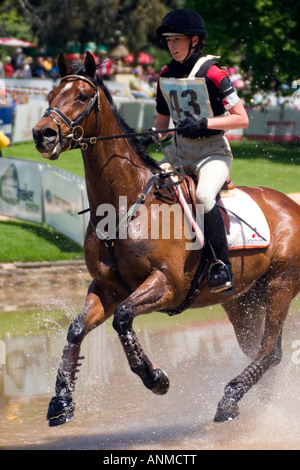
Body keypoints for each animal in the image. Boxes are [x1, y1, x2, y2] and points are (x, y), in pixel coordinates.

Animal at [32, 51, 300, 426]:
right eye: (50, 95)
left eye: (82, 97)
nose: (42, 134)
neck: (124, 205)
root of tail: (290, 203)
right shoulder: (107, 288)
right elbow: (76, 329)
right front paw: (61, 401)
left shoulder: (166, 284)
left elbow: (123, 318)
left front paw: (154, 378)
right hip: (242, 300)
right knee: (263, 350)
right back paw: (255, 405)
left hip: (280, 284)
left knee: (268, 348)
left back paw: (229, 399)